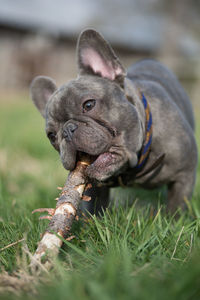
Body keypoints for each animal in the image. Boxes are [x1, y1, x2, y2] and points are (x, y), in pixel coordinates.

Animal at [30, 29, 198, 213]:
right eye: (52, 136)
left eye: (88, 105)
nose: (67, 130)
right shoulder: (95, 187)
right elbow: (94, 207)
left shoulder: (185, 175)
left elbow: (177, 206)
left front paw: (173, 218)